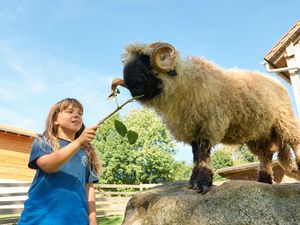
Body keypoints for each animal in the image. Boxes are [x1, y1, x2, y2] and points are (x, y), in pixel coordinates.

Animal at [112, 42, 300, 193]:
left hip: (285, 121)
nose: (131, 87)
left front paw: (202, 183)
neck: (184, 84)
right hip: (259, 133)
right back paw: (264, 181)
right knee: (265, 155)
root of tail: (276, 83)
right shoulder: (192, 127)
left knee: (295, 142)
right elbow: (196, 154)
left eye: (145, 60)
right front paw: (193, 181)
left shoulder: (210, 124)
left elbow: (203, 153)